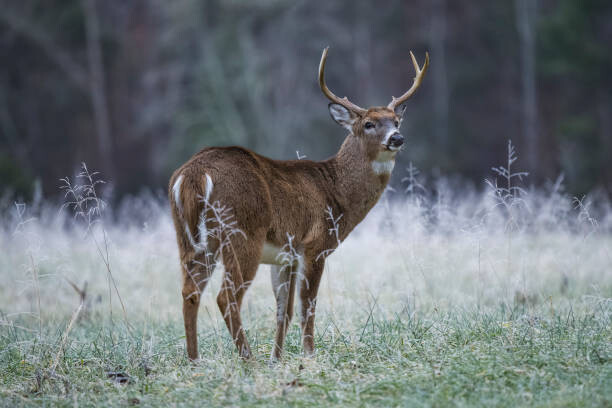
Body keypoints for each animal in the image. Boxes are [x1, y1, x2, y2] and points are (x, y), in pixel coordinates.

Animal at [169, 46, 430, 362]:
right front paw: (309, 355)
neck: (335, 191)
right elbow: (308, 306)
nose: (397, 138)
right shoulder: (315, 245)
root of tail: (193, 174)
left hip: (191, 239)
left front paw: (277, 359)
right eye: (369, 124)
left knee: (190, 291)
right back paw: (247, 359)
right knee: (226, 296)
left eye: (396, 121)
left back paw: (194, 360)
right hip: (241, 232)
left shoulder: (286, 255)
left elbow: (285, 310)